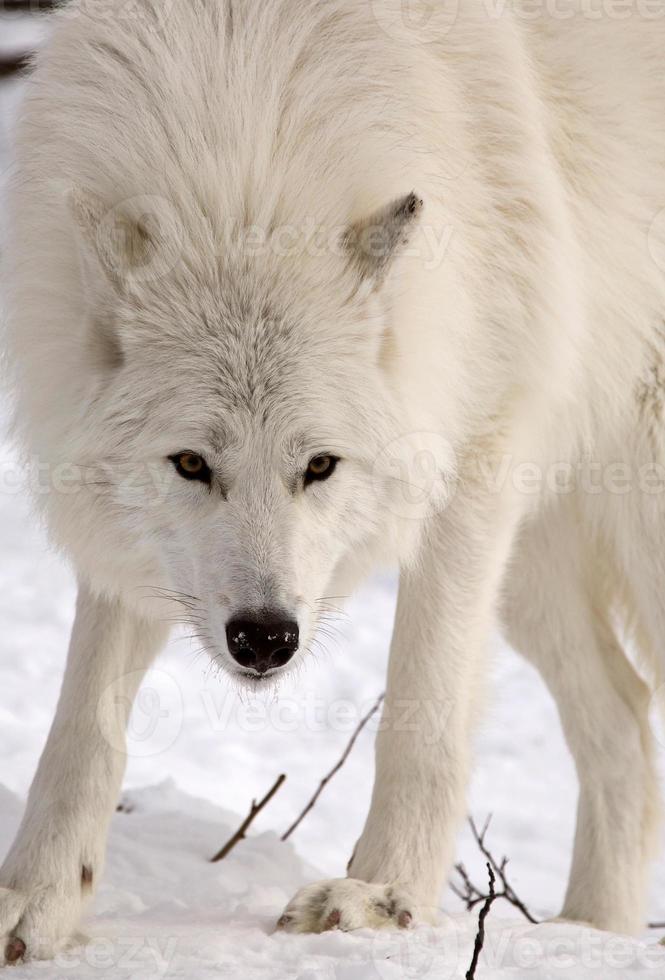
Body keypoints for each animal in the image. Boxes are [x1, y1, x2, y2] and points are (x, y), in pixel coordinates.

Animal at [1, 0, 664, 964]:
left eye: (319, 465)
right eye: (191, 464)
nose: (264, 638)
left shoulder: (473, 465)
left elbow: (421, 714)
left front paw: (382, 897)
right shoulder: (133, 548)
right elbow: (82, 727)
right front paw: (35, 902)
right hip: (533, 571)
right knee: (623, 720)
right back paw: (591, 935)